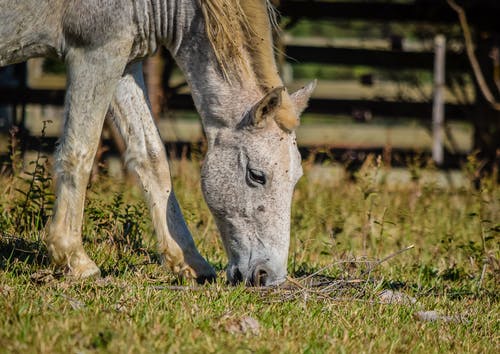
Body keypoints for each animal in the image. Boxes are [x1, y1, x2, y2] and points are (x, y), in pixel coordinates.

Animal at [0, 0, 316, 286]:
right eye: (257, 175)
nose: (270, 277)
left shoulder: (124, 62)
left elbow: (152, 157)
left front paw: (189, 261)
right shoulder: (94, 54)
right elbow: (80, 150)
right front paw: (74, 259)